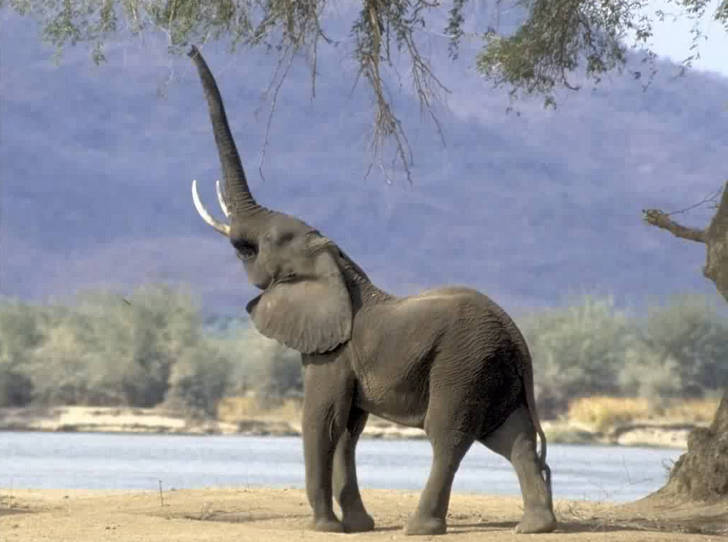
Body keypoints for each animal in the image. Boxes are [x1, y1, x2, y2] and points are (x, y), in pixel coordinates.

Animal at [186, 45, 557, 536]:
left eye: (258, 245)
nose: (189, 48)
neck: (338, 265)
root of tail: (519, 341)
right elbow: (348, 428)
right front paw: (357, 526)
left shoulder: (332, 352)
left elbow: (322, 420)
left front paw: (324, 528)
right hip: (495, 370)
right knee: (511, 436)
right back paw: (536, 527)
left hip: (464, 362)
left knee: (449, 435)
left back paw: (421, 528)